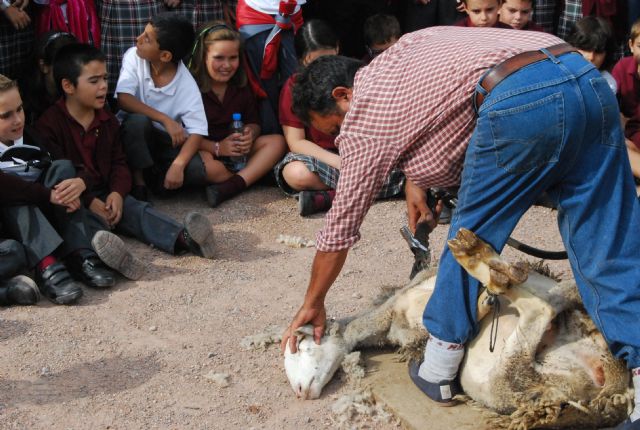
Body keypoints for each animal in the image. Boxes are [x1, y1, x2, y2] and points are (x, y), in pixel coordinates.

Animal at [284, 228, 632, 426]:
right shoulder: (412, 334)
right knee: (546, 307)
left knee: (544, 304)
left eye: (299, 346)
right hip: (512, 383)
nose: (300, 393)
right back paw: (481, 260)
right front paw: (489, 292)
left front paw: (488, 292)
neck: (391, 314)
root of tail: (613, 384)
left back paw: (478, 259)